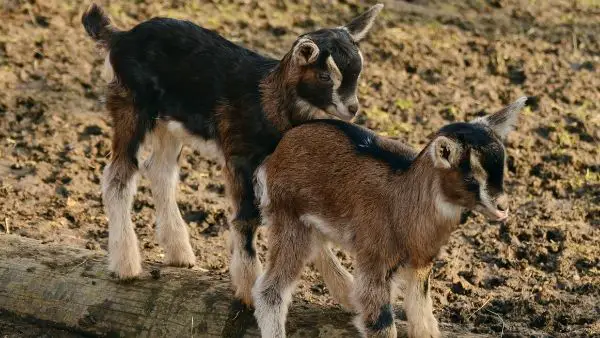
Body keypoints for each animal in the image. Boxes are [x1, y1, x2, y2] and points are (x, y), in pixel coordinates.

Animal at [81, 1, 384, 304]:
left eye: (358, 72)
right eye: (324, 75)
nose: (352, 108)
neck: (267, 101)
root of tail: (120, 37)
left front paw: (346, 292)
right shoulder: (239, 158)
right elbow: (247, 218)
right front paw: (248, 289)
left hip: (169, 122)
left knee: (159, 170)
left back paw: (179, 253)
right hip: (130, 105)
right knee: (119, 175)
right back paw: (126, 266)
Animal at [255, 96, 528, 336]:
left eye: (502, 169)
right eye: (471, 177)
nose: (502, 207)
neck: (403, 201)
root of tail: (279, 148)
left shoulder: (421, 262)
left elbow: (422, 315)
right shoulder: (376, 259)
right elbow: (381, 322)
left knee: (318, 247)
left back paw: (348, 296)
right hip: (288, 216)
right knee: (270, 290)